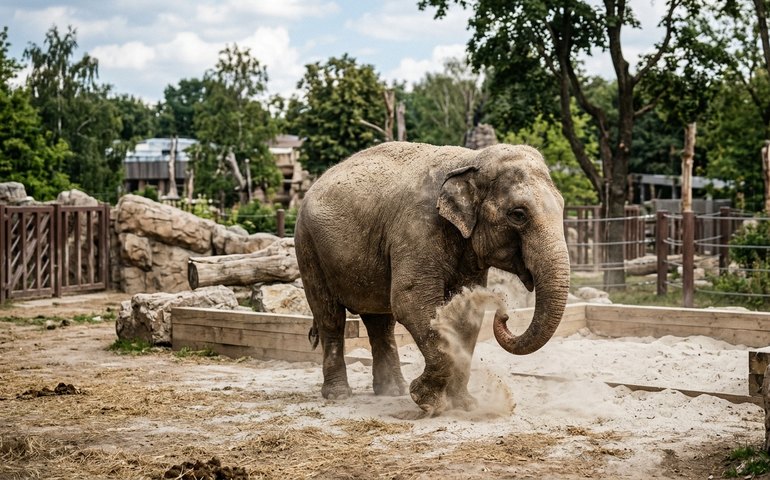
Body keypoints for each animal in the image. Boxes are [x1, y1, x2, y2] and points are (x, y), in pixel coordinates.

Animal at [294, 142, 570, 415]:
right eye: (518, 214)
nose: (504, 315)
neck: (471, 159)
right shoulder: (417, 228)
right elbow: (410, 301)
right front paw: (427, 401)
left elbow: (467, 314)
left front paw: (466, 405)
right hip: (308, 247)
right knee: (330, 317)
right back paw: (339, 395)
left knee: (380, 323)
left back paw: (392, 391)